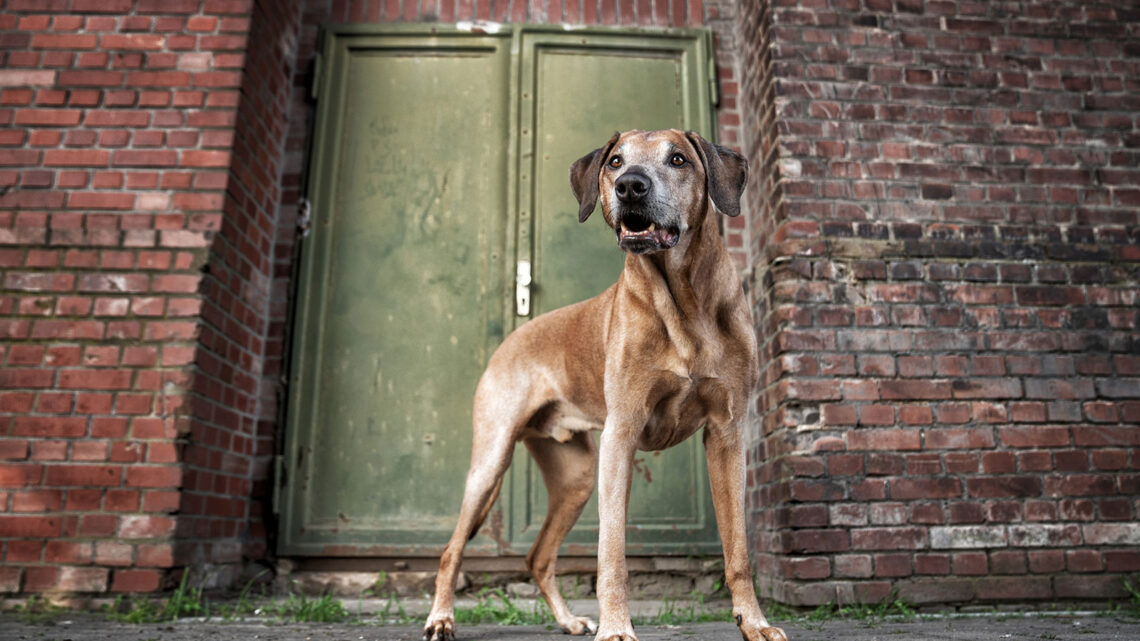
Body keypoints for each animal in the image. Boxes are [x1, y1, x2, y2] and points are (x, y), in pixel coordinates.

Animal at [424, 130, 788, 638]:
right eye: (615, 161)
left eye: (678, 159)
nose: (630, 185)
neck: (683, 303)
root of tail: (512, 337)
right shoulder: (623, 433)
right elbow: (611, 553)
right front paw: (616, 628)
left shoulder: (727, 434)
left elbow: (737, 549)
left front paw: (754, 622)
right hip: (490, 460)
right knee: (451, 549)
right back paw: (440, 618)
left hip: (575, 477)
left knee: (538, 557)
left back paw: (567, 620)